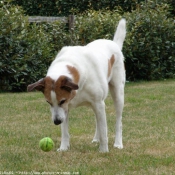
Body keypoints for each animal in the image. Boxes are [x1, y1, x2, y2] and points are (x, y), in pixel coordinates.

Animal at [27, 18, 126, 152]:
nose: (56, 121)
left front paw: (104, 150)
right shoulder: (66, 109)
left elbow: (104, 131)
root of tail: (114, 43)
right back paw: (96, 138)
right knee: (98, 120)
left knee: (118, 121)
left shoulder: (95, 103)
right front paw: (63, 148)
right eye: (48, 102)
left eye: (62, 100)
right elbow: (65, 132)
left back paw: (118, 143)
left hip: (117, 93)